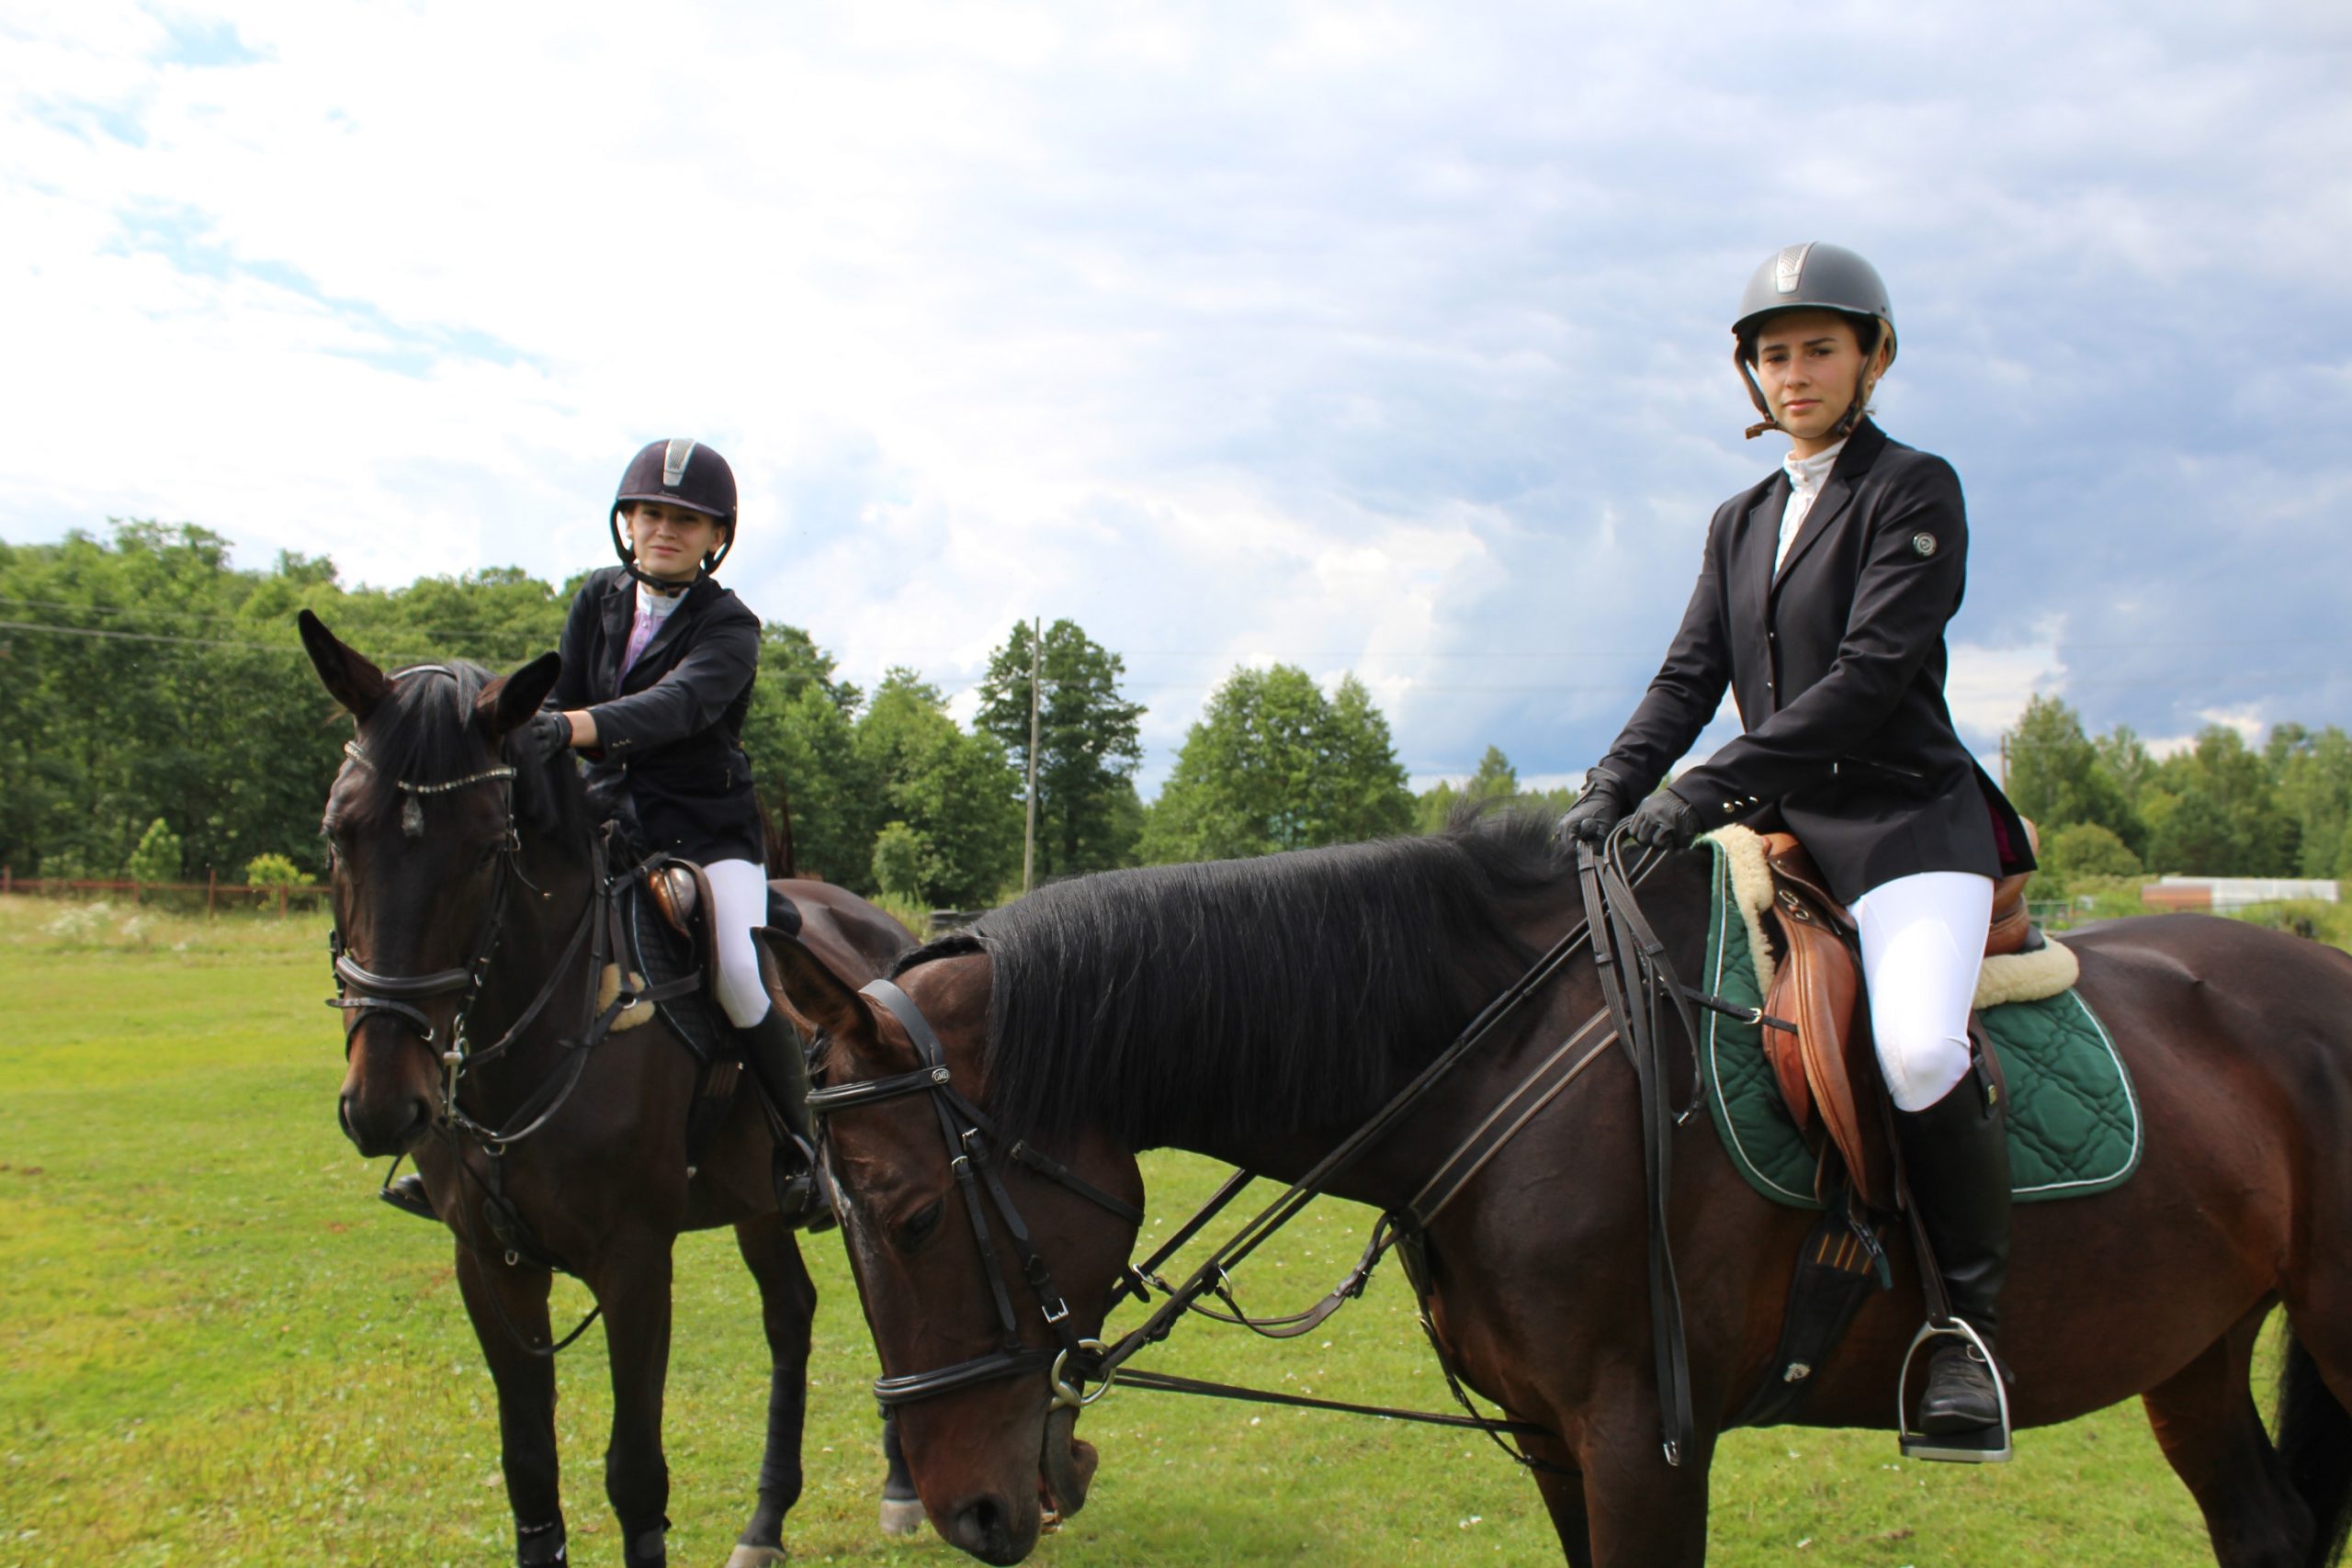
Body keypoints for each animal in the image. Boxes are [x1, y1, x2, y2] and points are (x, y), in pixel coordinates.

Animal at [296, 615, 917, 1568]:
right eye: (338, 834)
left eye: (489, 847)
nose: (383, 1106)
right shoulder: (491, 1264)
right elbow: (529, 1469)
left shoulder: (635, 1262)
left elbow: (635, 1474)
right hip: (755, 1201)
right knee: (791, 1314)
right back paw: (765, 1521)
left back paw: (902, 1487)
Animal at [762, 818, 2352, 1561]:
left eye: (907, 1212)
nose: (967, 1509)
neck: (1491, 1062)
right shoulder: (1548, 1436)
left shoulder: (1645, 1438)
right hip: (2194, 1349)